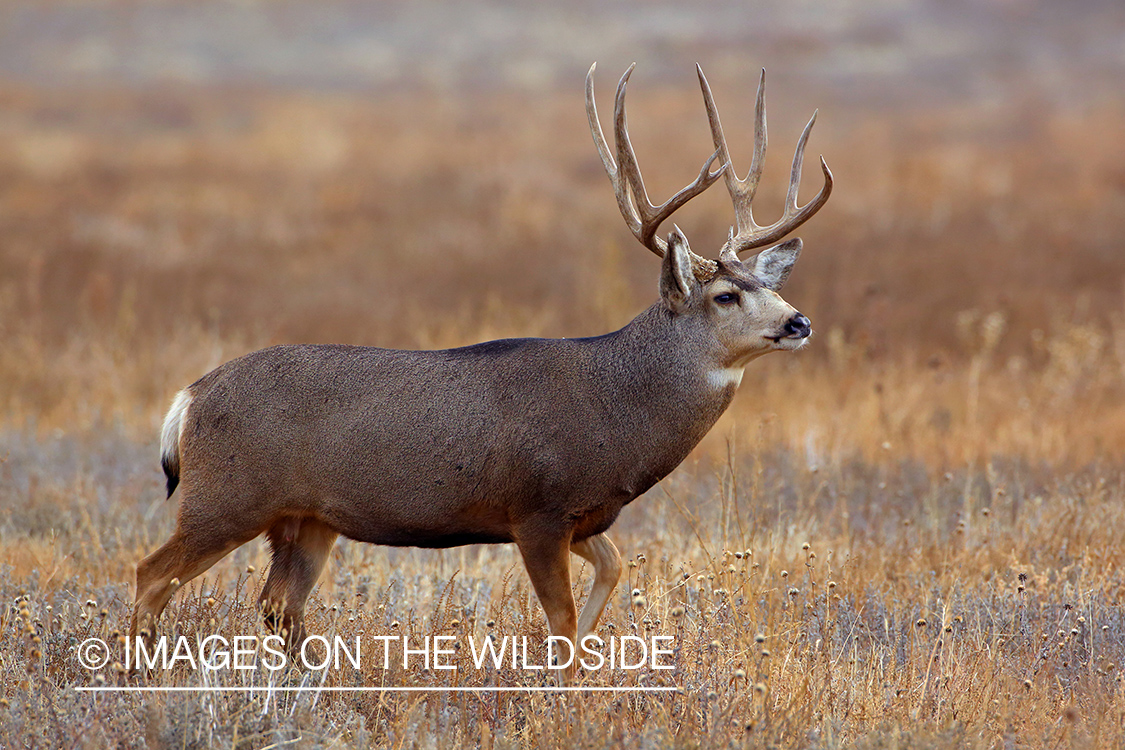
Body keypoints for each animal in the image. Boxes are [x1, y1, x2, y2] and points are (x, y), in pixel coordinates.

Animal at [131, 62, 832, 681]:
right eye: (725, 296)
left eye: (766, 285)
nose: (798, 322)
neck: (618, 406)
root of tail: (189, 398)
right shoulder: (538, 508)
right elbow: (562, 622)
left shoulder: (584, 516)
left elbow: (612, 574)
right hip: (228, 497)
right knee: (151, 574)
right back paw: (142, 678)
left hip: (306, 521)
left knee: (278, 606)